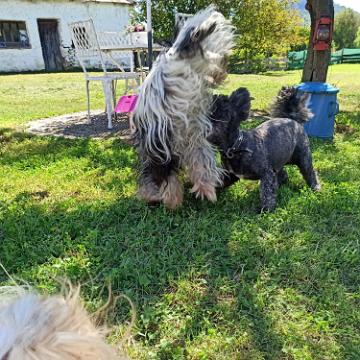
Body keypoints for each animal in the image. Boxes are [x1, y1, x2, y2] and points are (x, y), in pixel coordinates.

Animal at [134, 5, 235, 210]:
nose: (225, 68)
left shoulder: (195, 133)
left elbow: (202, 160)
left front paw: (205, 189)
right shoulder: (161, 142)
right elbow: (167, 173)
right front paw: (170, 199)